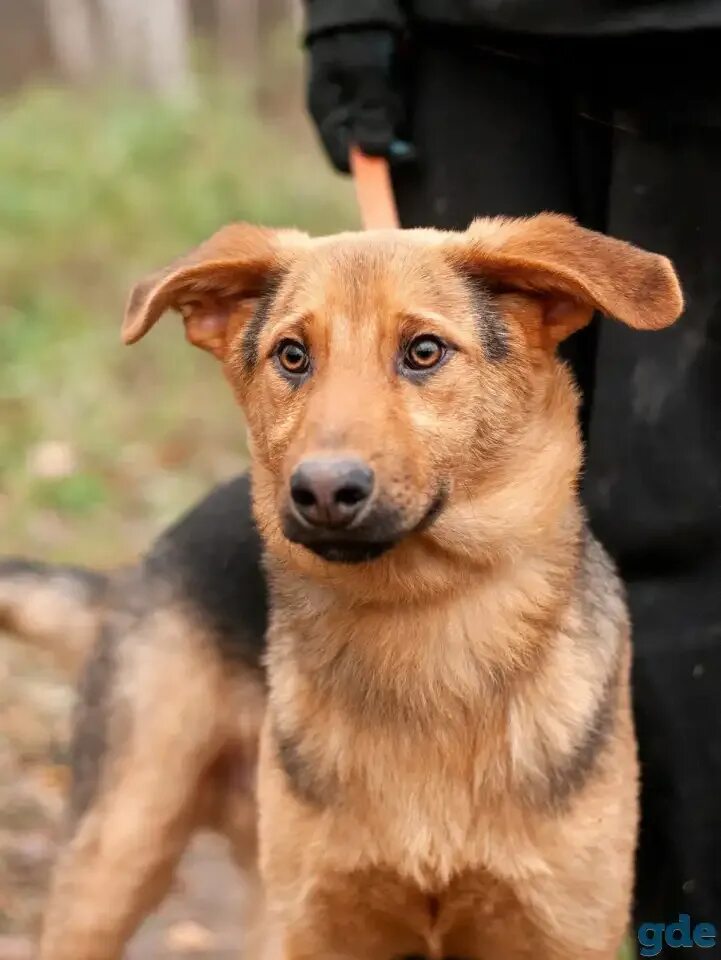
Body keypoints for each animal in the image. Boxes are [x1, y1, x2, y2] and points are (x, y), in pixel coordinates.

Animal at [0, 214, 684, 956]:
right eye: (292, 356)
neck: (422, 631)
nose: (323, 491)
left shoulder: (562, 926)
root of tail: (143, 563)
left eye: (423, 352)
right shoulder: (321, 921)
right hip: (122, 851)